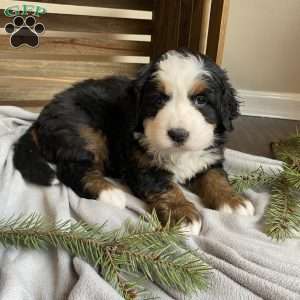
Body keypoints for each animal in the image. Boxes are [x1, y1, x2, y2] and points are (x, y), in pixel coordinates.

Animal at [13, 48, 253, 234]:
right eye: (159, 100)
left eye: (201, 100)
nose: (178, 134)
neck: (178, 153)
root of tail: (42, 117)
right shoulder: (143, 166)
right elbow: (167, 187)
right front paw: (183, 214)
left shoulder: (210, 157)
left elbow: (216, 178)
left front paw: (233, 201)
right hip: (84, 130)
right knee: (73, 168)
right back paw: (108, 192)